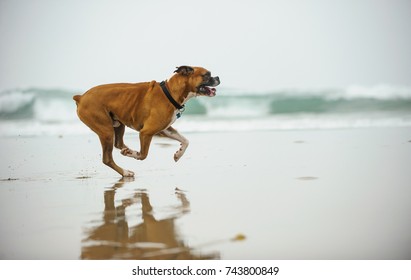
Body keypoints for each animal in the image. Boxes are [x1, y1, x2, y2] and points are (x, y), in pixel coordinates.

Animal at [74, 65, 222, 177]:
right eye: (207, 75)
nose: (218, 77)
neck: (169, 92)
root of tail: (81, 97)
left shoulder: (165, 129)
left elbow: (185, 140)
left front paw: (179, 154)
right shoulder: (146, 132)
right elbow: (143, 155)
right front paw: (136, 154)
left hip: (118, 125)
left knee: (119, 144)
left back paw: (127, 151)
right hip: (106, 131)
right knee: (107, 159)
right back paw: (126, 171)